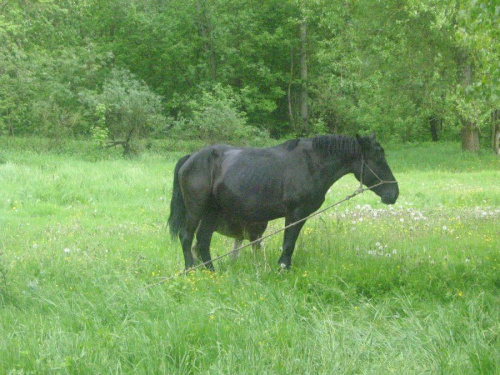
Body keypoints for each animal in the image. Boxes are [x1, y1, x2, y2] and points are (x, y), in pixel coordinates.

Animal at [168, 134, 398, 272]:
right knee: (187, 237)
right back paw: (190, 270)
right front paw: (283, 268)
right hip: (196, 209)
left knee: (203, 241)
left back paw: (211, 272)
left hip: (212, 212)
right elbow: (289, 243)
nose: (393, 194)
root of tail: (191, 157)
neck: (310, 164)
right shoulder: (296, 214)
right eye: (378, 159)